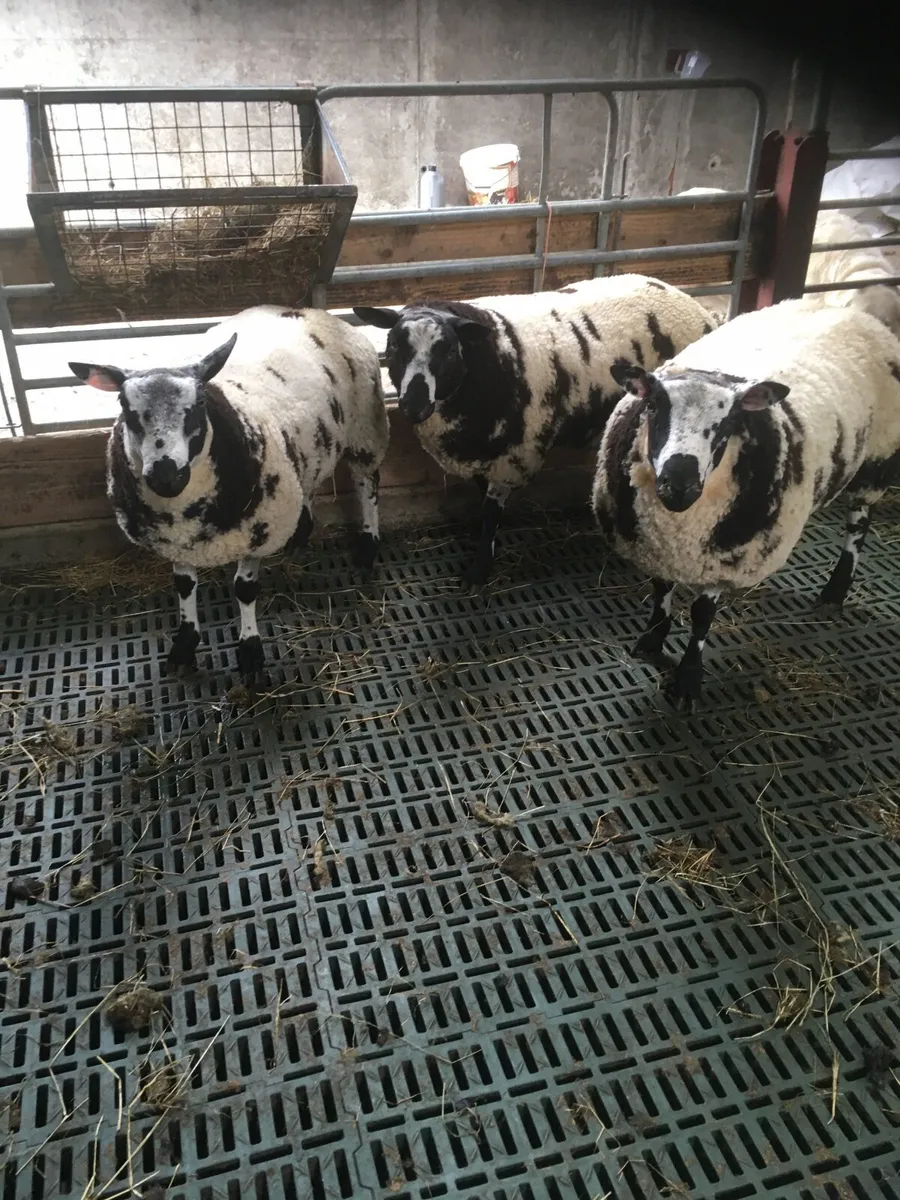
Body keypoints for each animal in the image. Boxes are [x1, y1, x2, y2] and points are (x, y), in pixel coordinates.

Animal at [69, 304, 389, 685]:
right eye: (124, 406)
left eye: (198, 403)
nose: (165, 475)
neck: (181, 511)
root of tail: (308, 311)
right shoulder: (175, 542)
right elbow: (183, 586)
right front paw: (184, 644)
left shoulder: (257, 534)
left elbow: (244, 590)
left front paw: (250, 652)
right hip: (306, 449)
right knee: (308, 486)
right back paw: (299, 535)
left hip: (365, 431)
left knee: (367, 484)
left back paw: (368, 545)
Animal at [354, 274, 715, 585]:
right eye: (394, 345)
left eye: (449, 351)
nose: (413, 406)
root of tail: (691, 303)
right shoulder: (484, 449)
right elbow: (481, 498)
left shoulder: (514, 454)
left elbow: (490, 512)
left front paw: (480, 568)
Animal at [592, 298, 900, 711]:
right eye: (653, 407)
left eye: (730, 422)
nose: (679, 483)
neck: (677, 527)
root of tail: (848, 309)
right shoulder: (656, 547)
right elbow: (660, 591)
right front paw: (652, 640)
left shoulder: (723, 560)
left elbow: (702, 616)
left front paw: (688, 680)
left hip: (876, 460)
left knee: (858, 525)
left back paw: (835, 591)